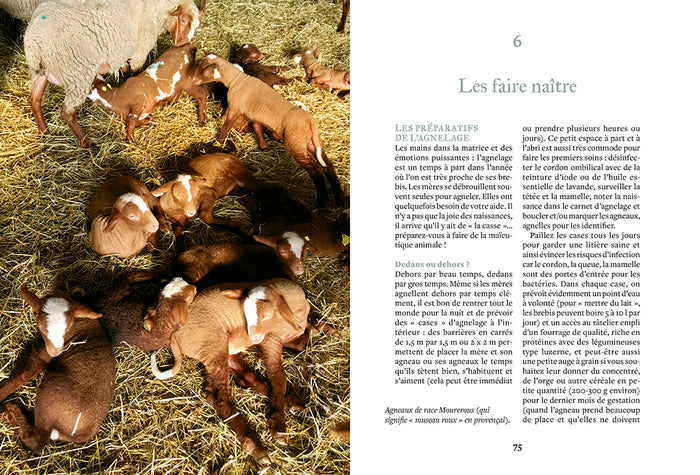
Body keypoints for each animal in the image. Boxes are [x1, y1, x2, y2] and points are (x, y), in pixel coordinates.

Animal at [0, 284, 115, 454]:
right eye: (41, 328)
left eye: (68, 328)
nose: (55, 352)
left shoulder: (42, 355)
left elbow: (24, 374)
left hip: (48, 399)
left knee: (35, 440)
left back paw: (9, 409)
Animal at [24, 0, 202, 147]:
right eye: (184, 20)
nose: (183, 45)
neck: (158, 9)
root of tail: (35, 40)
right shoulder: (140, 51)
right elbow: (133, 73)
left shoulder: (120, 55)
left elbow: (124, 70)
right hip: (77, 75)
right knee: (67, 113)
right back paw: (86, 142)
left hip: (40, 72)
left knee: (34, 100)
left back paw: (44, 132)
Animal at [150, 278, 312, 463]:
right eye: (246, 313)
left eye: (267, 316)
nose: (252, 338)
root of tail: (175, 335)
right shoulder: (270, 339)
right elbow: (278, 376)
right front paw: (278, 426)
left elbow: (303, 342)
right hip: (212, 344)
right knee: (219, 397)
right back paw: (255, 446)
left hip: (220, 349)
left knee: (248, 377)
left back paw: (291, 402)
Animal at [192, 53, 346, 208]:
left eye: (203, 70)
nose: (192, 79)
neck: (237, 80)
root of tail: (311, 122)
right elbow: (240, 123)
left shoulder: (235, 108)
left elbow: (225, 126)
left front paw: (219, 142)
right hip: (311, 142)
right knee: (327, 166)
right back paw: (339, 198)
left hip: (295, 143)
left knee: (316, 170)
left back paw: (322, 202)